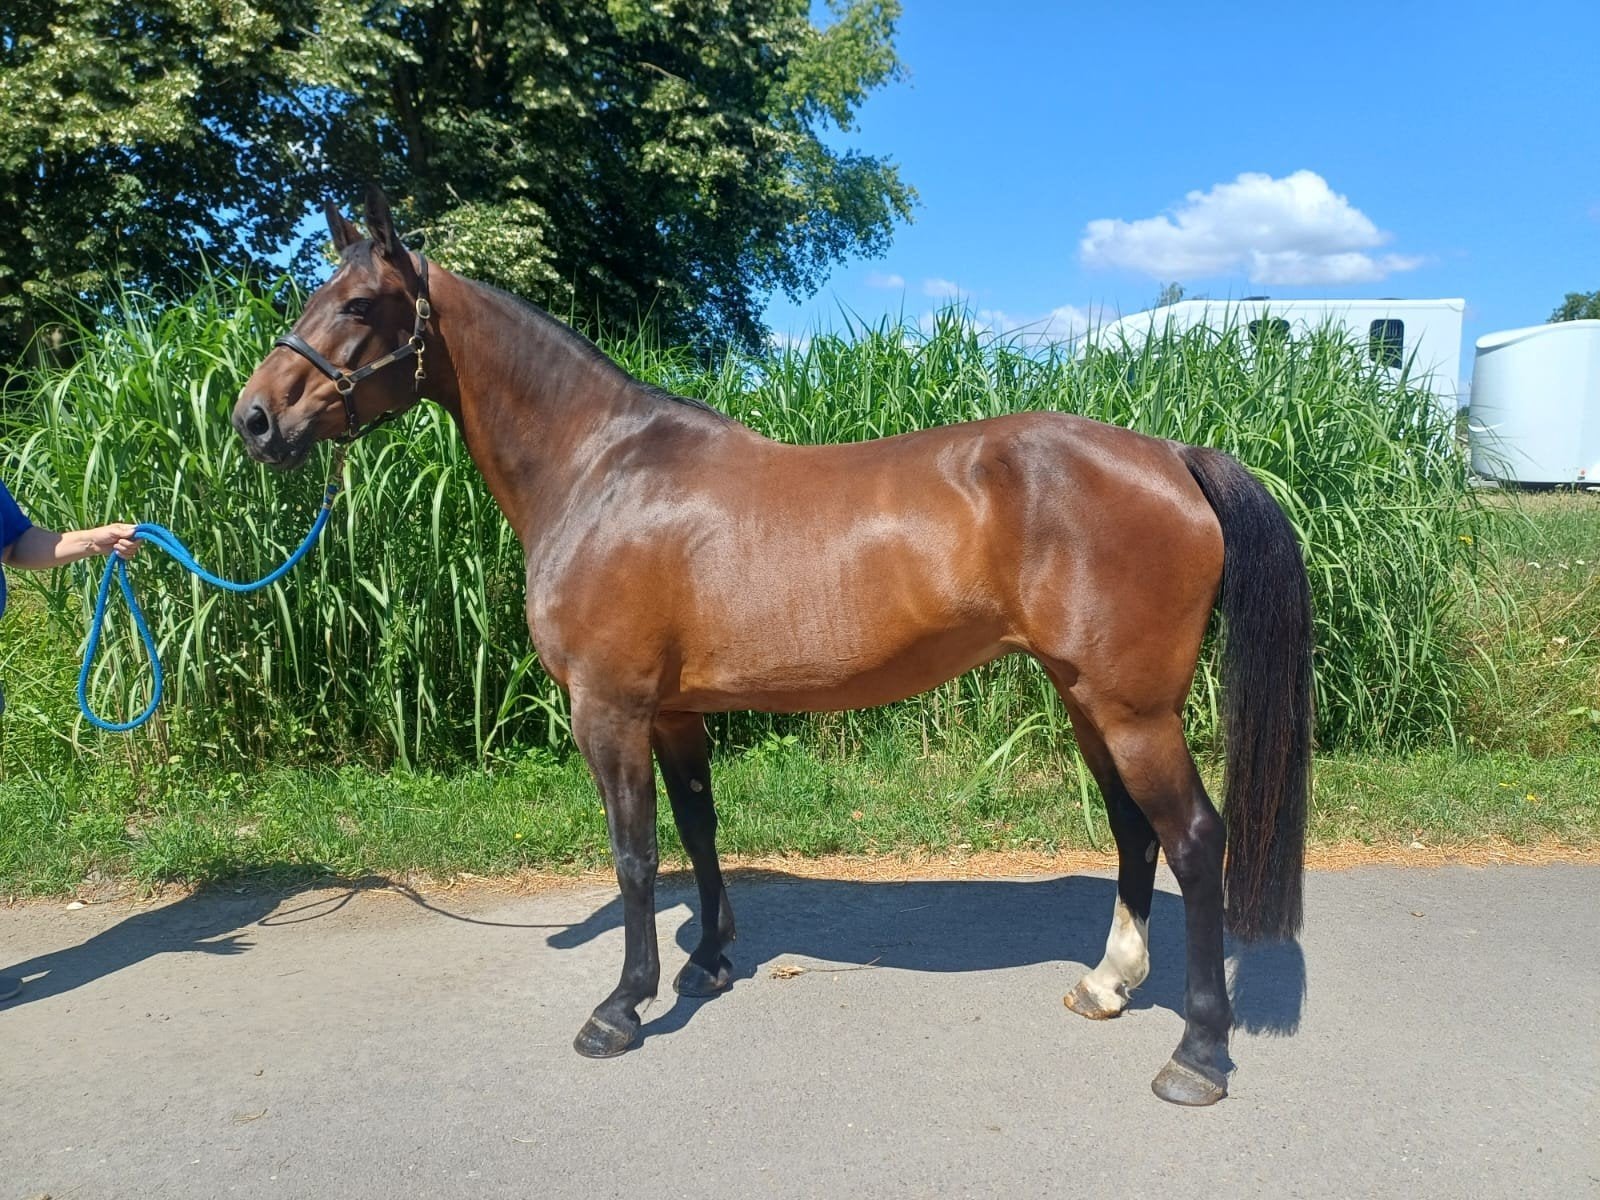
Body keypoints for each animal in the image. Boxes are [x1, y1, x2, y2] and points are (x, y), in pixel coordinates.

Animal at [234, 187, 1312, 1106]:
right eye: (311, 294)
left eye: (360, 303)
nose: (254, 418)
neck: (601, 470)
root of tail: (1171, 456)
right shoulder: (673, 710)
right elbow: (699, 829)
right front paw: (707, 963)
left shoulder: (608, 707)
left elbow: (633, 855)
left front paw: (620, 1007)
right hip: (1088, 697)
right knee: (1135, 834)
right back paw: (1107, 985)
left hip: (1134, 710)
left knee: (1195, 840)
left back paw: (1197, 1054)